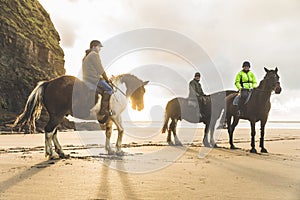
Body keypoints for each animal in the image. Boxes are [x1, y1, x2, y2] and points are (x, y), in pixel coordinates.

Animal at [13, 74, 149, 159]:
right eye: (142, 91)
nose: (140, 107)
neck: (117, 92)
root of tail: (49, 83)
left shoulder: (110, 119)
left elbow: (109, 132)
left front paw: (110, 150)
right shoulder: (116, 116)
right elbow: (121, 130)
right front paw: (119, 150)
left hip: (57, 116)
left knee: (53, 132)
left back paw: (61, 153)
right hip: (57, 116)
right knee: (49, 131)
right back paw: (51, 154)